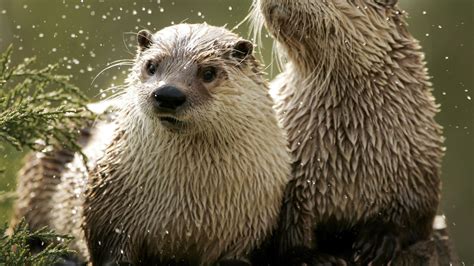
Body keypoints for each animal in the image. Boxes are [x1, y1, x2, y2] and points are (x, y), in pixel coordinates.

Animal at [254, 0, 446, 264]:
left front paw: (380, 239)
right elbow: (287, 230)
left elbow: (415, 218)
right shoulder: (291, 185)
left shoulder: (420, 167)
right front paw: (309, 256)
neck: (351, 156)